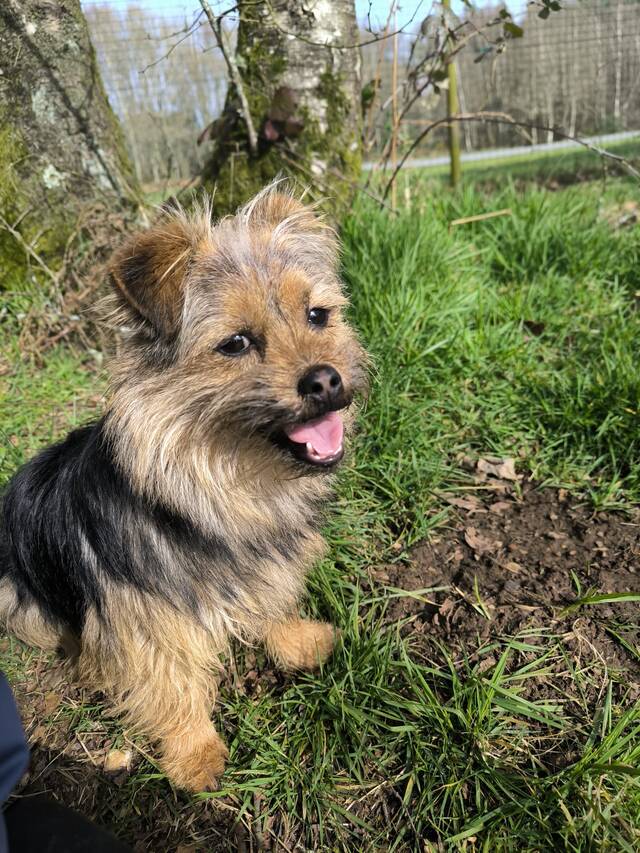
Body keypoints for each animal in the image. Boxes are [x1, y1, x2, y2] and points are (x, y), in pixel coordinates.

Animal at [0, 185, 368, 791]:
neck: (227, 486)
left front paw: (297, 641)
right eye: (235, 343)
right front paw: (195, 755)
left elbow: (272, 601)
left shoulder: (261, 565)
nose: (325, 379)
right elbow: (170, 681)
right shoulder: (147, 615)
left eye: (318, 315)